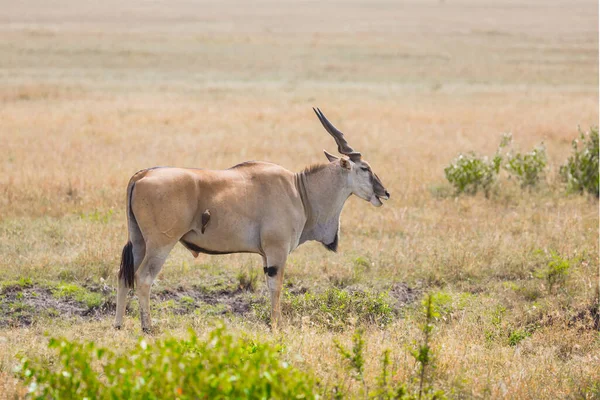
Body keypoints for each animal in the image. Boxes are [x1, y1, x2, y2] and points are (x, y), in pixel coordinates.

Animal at [115, 108, 392, 332]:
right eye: (365, 168)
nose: (385, 192)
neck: (299, 189)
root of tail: (142, 175)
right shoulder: (277, 252)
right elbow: (276, 287)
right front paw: (277, 326)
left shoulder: (266, 255)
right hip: (160, 245)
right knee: (143, 278)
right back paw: (148, 328)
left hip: (139, 242)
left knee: (123, 276)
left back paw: (119, 325)